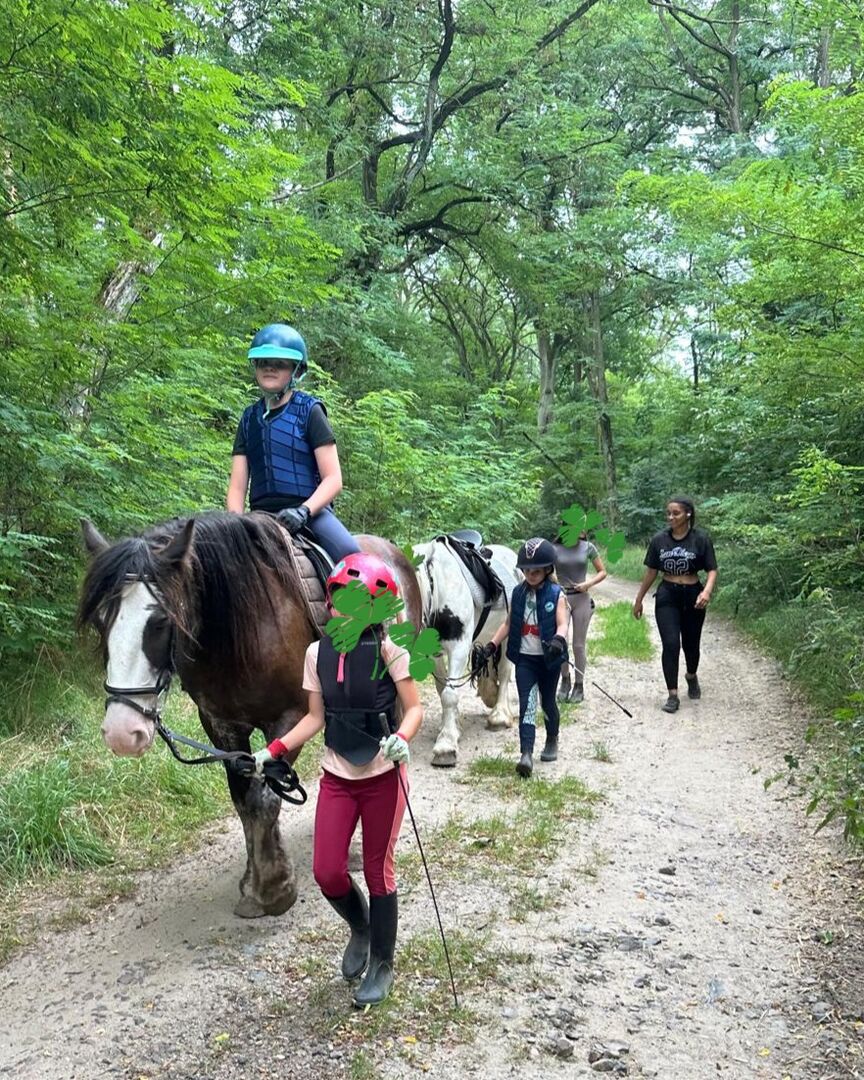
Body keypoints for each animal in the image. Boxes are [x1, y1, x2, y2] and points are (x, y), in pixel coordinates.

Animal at [77, 511, 421, 919]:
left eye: (160, 621)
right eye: (101, 621)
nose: (121, 732)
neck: (244, 628)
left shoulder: (292, 716)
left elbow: (266, 798)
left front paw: (274, 887)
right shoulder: (221, 726)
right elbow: (244, 799)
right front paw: (253, 881)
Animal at [412, 535, 520, 766]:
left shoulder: (459, 647)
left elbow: (449, 694)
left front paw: (446, 746)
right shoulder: (434, 654)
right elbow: (441, 688)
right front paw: (452, 728)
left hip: (508, 634)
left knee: (505, 671)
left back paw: (499, 716)